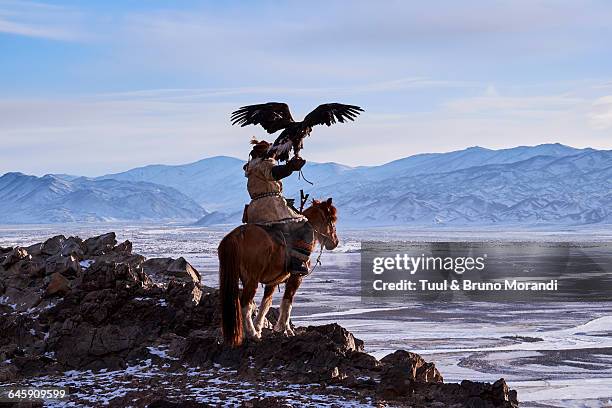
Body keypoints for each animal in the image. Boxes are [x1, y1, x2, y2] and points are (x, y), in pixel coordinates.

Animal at [218, 199, 340, 346]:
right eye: (331, 219)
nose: (335, 242)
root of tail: (237, 235)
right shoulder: (296, 278)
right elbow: (288, 302)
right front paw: (284, 329)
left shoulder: (273, 281)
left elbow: (266, 304)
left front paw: (260, 327)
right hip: (252, 280)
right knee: (245, 305)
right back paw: (252, 335)